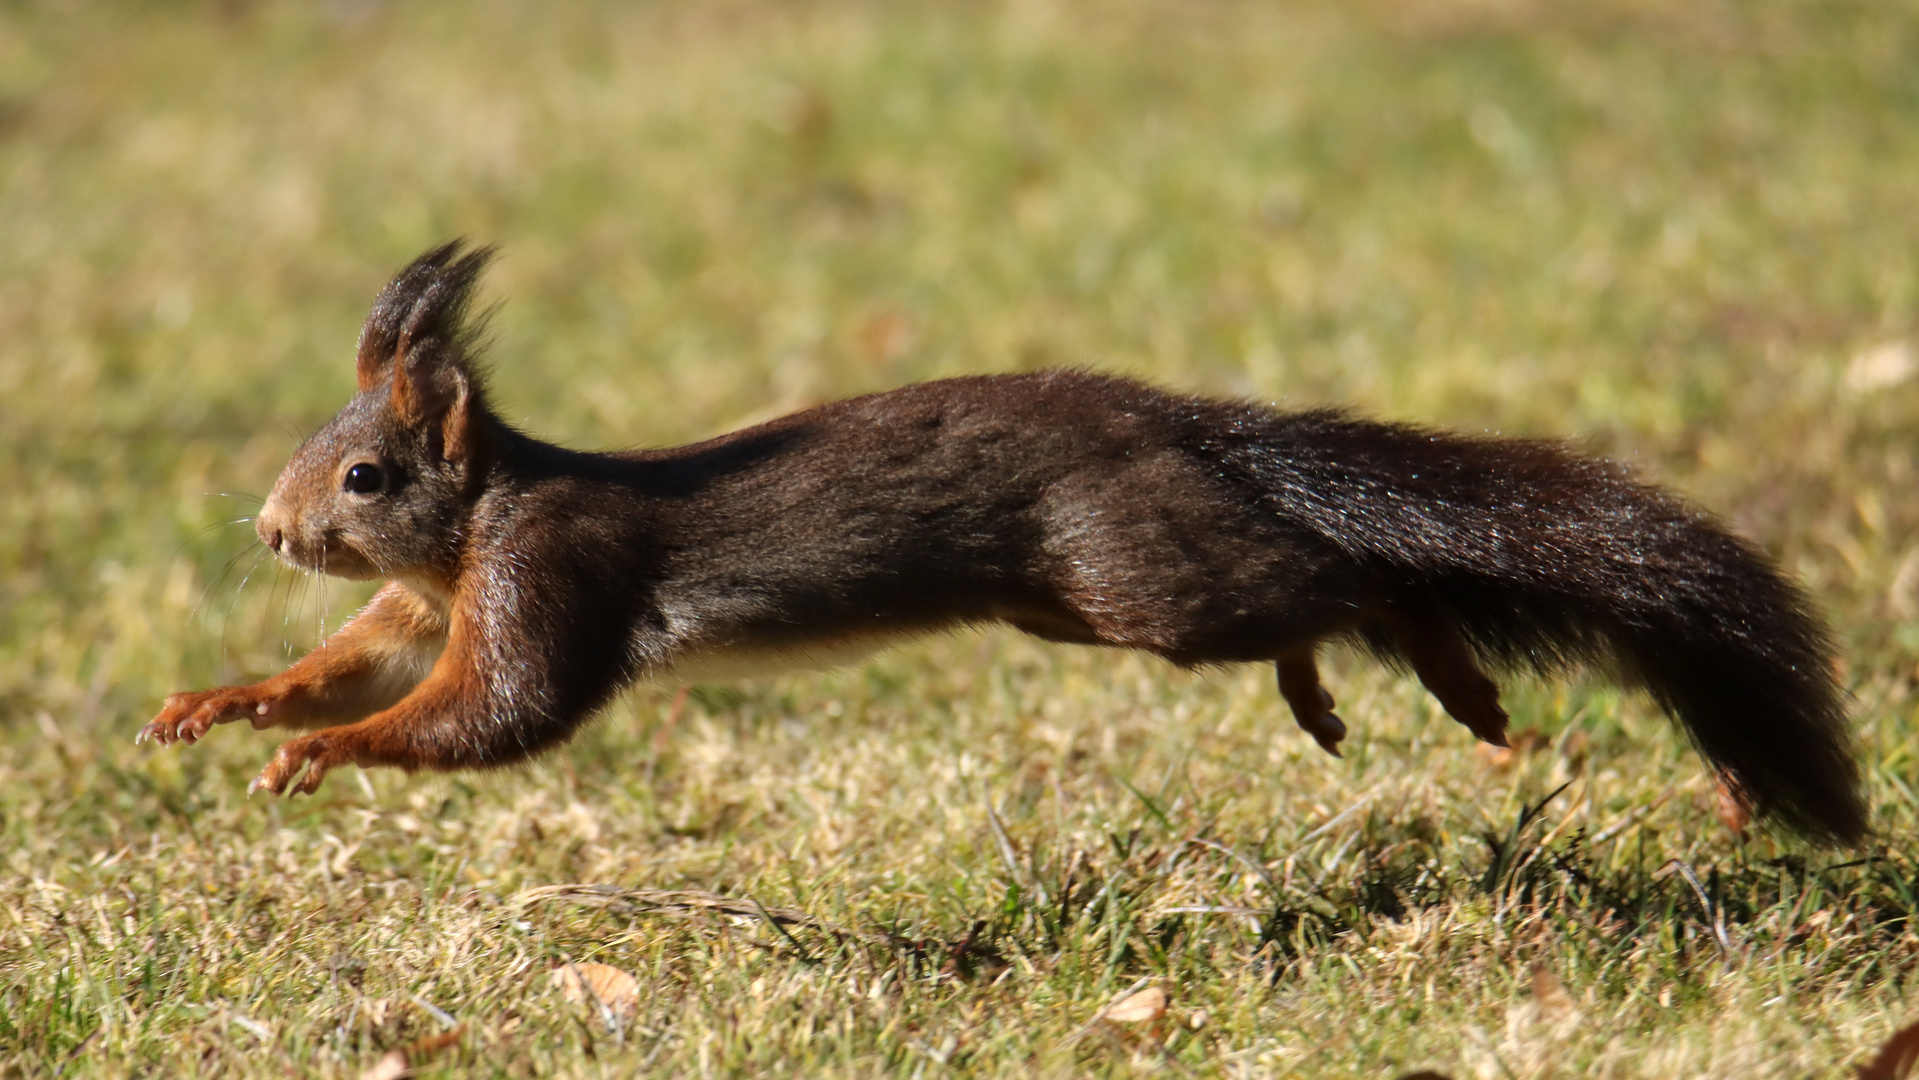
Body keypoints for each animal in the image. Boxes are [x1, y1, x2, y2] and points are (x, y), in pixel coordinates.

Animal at [142, 242, 1865, 844]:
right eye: (317, 463)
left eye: (364, 474)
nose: (273, 529)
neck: (470, 528)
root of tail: (1173, 422)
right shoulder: (426, 606)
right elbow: (360, 664)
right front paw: (226, 702)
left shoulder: (546, 571)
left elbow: (496, 713)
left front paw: (323, 757)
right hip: (1078, 600)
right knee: (1300, 591)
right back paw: (1328, 689)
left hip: (1129, 571)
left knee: (1344, 574)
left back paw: (1441, 673)